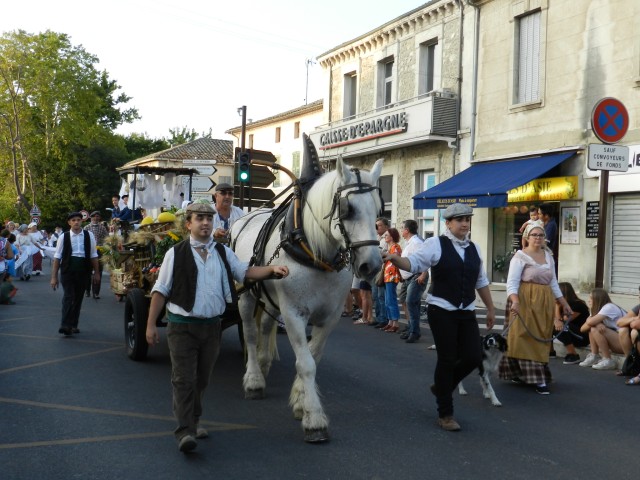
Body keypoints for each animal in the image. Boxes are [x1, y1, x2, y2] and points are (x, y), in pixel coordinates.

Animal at [230, 154, 382, 442]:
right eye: (348, 209)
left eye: (379, 210)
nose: (372, 265)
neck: (314, 251)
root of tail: (244, 217)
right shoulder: (294, 313)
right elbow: (306, 363)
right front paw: (314, 419)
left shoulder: (330, 316)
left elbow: (314, 356)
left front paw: (301, 401)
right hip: (246, 296)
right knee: (251, 333)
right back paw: (254, 378)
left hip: (269, 298)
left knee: (265, 326)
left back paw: (264, 365)